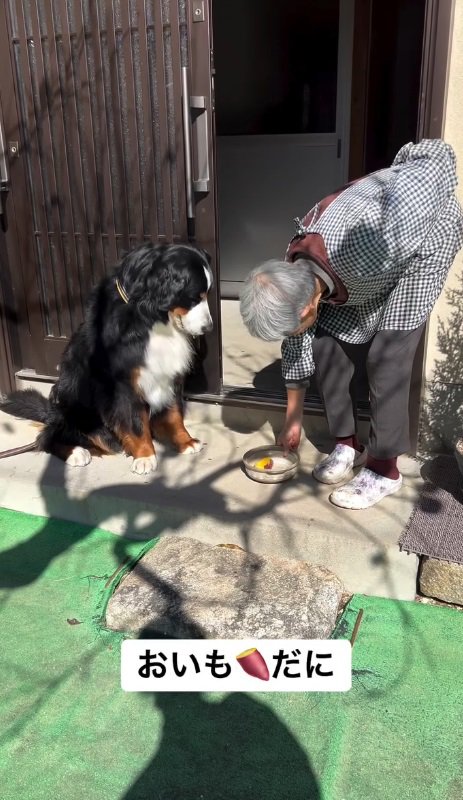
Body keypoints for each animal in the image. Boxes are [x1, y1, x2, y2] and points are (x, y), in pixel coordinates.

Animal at [0, 241, 214, 472]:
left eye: (206, 295)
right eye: (194, 297)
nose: (208, 327)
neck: (150, 318)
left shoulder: (170, 373)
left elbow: (174, 414)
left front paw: (185, 441)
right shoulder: (123, 383)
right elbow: (135, 422)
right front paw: (145, 456)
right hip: (72, 400)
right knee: (48, 437)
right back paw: (76, 452)